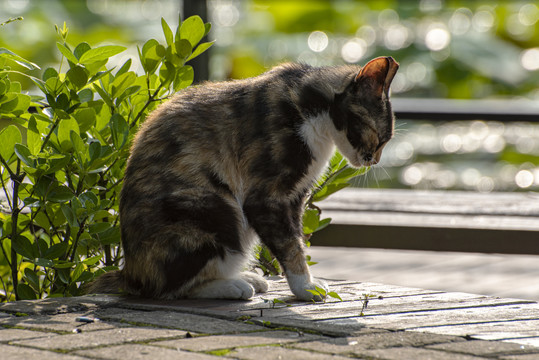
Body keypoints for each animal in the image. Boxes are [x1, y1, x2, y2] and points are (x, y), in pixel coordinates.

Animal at [88, 54, 398, 300]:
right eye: (381, 137)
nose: (374, 161)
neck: (310, 106)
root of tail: (129, 273)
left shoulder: (296, 196)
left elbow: (296, 237)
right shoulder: (265, 196)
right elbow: (290, 245)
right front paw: (305, 287)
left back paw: (244, 278)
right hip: (214, 208)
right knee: (166, 289)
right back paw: (233, 286)